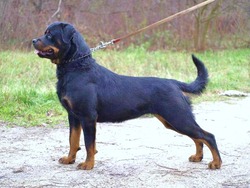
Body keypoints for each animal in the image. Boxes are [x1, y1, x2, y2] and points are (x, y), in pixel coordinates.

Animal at [32, 21, 222, 170]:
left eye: (49, 34)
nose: (33, 40)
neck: (77, 67)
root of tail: (174, 83)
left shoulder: (88, 117)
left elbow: (88, 144)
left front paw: (88, 165)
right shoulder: (73, 116)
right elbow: (73, 140)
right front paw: (69, 159)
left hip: (178, 117)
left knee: (208, 136)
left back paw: (216, 163)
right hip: (173, 120)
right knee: (198, 137)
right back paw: (197, 157)